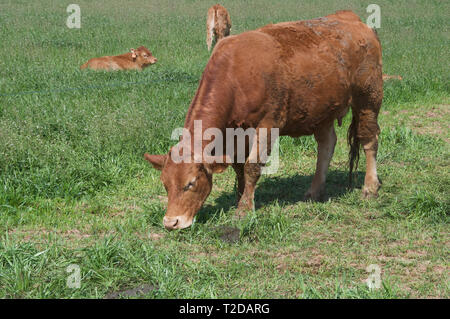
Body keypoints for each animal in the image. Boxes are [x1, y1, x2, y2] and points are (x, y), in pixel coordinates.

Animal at [145, 10, 384, 230]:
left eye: (190, 183)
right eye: (165, 184)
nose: (171, 222)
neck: (236, 74)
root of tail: (352, 18)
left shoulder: (269, 124)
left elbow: (252, 166)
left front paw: (244, 209)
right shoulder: (235, 132)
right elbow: (238, 166)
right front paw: (241, 197)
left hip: (368, 98)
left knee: (369, 140)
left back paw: (370, 187)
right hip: (322, 110)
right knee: (326, 145)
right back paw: (314, 191)